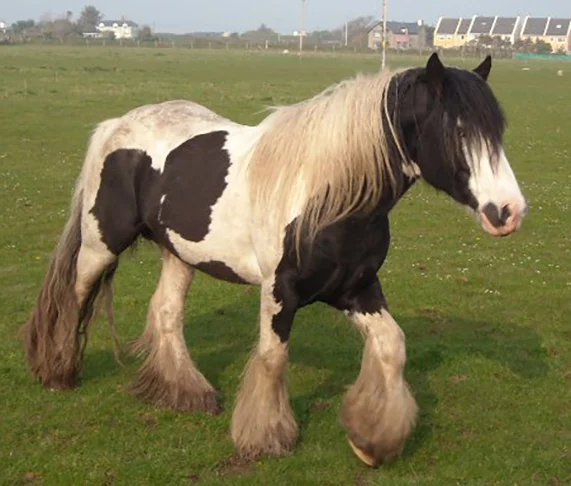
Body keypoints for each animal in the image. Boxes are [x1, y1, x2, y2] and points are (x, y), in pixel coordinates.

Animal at [21, 53, 528, 468]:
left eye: (498, 131)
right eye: (459, 130)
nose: (509, 211)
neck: (328, 196)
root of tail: (117, 125)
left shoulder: (356, 288)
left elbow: (392, 346)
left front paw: (372, 439)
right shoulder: (280, 291)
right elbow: (271, 357)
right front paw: (265, 438)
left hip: (179, 253)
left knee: (165, 312)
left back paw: (187, 392)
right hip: (101, 244)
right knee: (75, 296)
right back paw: (59, 372)